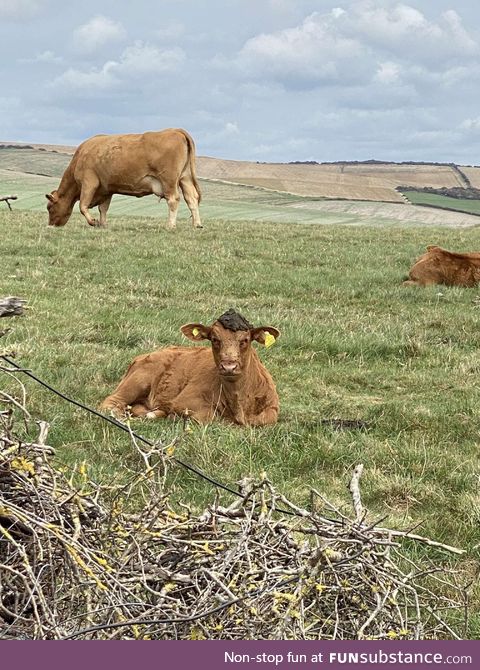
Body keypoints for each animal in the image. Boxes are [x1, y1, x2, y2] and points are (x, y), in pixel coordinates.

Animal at [45, 129, 201, 231]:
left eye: (49, 208)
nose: (51, 225)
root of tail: (175, 130)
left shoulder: (89, 183)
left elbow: (83, 206)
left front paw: (93, 222)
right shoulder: (106, 189)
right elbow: (103, 208)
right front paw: (103, 224)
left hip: (169, 180)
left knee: (173, 199)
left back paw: (171, 225)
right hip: (185, 178)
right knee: (191, 198)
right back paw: (197, 224)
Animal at [101, 312, 282, 428]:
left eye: (245, 340)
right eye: (214, 339)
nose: (228, 366)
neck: (239, 402)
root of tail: (142, 357)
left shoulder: (272, 410)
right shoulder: (185, 401)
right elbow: (209, 417)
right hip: (136, 382)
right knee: (109, 403)